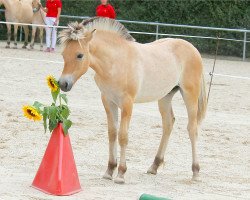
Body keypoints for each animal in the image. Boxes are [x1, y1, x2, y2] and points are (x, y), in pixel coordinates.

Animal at [58, 18, 207, 184]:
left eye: (79, 55)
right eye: (63, 54)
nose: (63, 84)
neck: (116, 62)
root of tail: (193, 49)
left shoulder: (127, 104)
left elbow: (123, 136)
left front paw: (121, 174)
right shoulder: (108, 101)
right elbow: (112, 133)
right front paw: (109, 170)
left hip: (190, 95)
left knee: (192, 129)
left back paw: (195, 172)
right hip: (165, 97)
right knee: (168, 124)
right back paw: (154, 166)